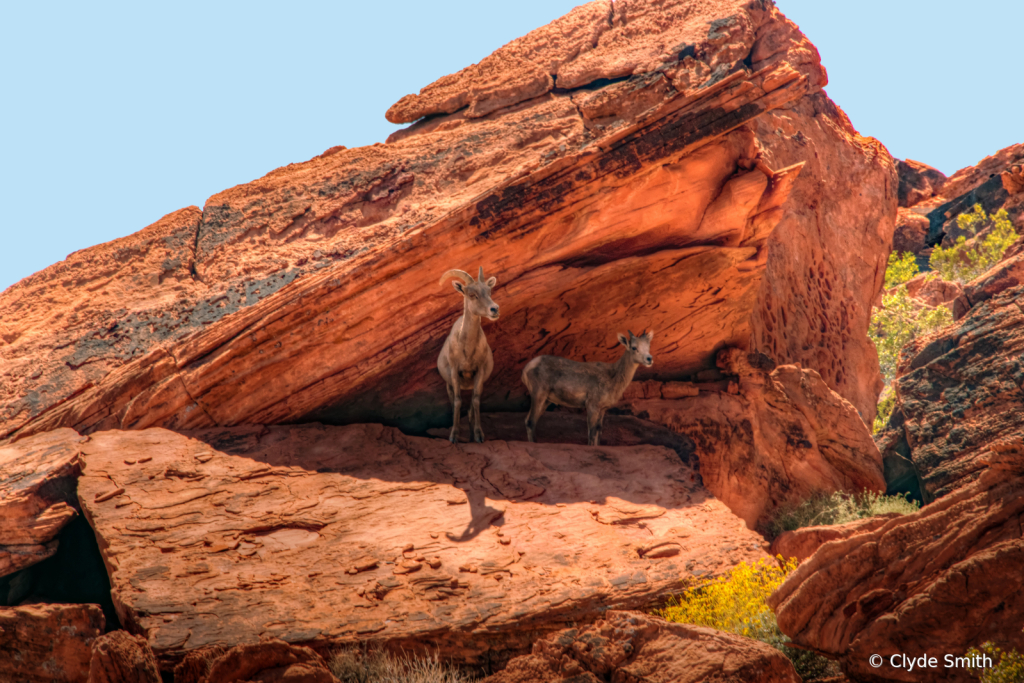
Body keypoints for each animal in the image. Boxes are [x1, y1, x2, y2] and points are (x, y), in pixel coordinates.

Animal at [436, 264, 499, 446]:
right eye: (472, 295)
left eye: (489, 291)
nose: (495, 309)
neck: (467, 350)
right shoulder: (455, 373)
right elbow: (457, 402)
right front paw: (453, 437)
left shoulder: (479, 372)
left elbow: (476, 402)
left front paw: (479, 436)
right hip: (449, 385)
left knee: (471, 407)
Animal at [520, 327, 655, 446]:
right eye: (634, 347)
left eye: (648, 347)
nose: (649, 359)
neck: (613, 377)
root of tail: (526, 369)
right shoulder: (592, 405)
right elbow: (592, 433)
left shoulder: (602, 409)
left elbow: (599, 433)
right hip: (538, 394)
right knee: (530, 421)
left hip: (546, 400)